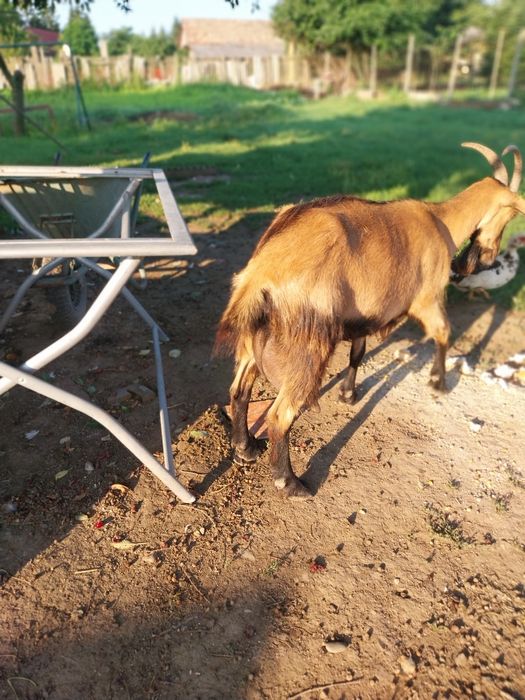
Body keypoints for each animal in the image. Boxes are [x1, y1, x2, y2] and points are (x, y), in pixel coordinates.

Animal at [338, 143, 523, 406]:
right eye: (510, 215)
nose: (490, 257)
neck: (439, 220)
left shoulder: (368, 309)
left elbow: (358, 350)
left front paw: (348, 394)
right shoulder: (423, 298)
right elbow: (443, 330)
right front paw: (438, 381)